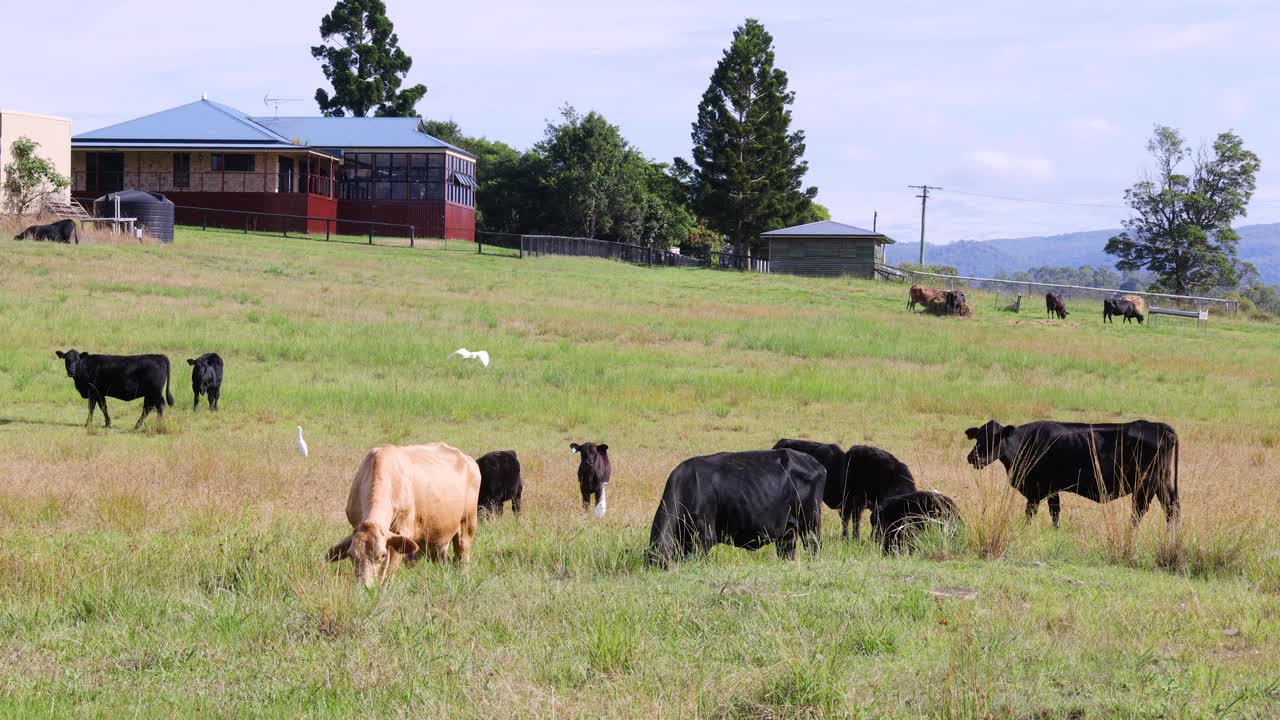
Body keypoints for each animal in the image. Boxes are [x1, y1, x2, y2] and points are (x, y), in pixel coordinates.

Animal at [325, 440, 481, 586]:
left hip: (467, 525)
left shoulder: (401, 533)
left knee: (462, 558)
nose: (365, 586)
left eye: (381, 555)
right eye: (351, 555)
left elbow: (388, 572)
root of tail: (468, 460)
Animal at [962, 415, 1177, 527]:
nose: (972, 457)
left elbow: (1032, 514)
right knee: (1172, 510)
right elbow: (1055, 514)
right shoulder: (1052, 490)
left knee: (1139, 511)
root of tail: (1160, 426)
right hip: (1164, 484)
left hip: (1145, 485)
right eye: (978, 436)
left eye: (995, 438)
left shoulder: (1037, 490)